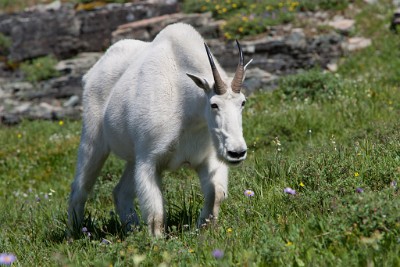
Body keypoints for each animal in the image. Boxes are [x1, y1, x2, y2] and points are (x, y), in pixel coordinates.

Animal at [67, 22, 252, 237]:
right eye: (214, 104)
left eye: (243, 102)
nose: (236, 152)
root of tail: (90, 74)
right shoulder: (149, 160)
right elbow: (155, 212)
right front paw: (157, 241)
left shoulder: (207, 159)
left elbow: (217, 194)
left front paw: (204, 230)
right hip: (93, 141)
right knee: (79, 188)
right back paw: (75, 234)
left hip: (132, 157)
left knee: (120, 192)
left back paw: (133, 230)